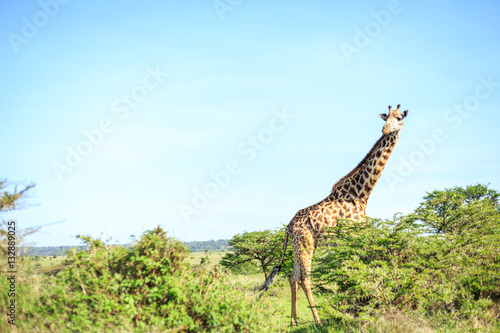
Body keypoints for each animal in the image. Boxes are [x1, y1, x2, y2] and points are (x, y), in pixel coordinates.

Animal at [260, 103, 408, 324]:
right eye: (386, 118)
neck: (361, 194)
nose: (385, 130)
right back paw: (318, 320)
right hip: (306, 245)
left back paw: (294, 321)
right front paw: (351, 312)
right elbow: (352, 274)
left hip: (297, 247)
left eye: (399, 118)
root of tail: (287, 228)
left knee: (292, 277)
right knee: (304, 279)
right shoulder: (352, 237)